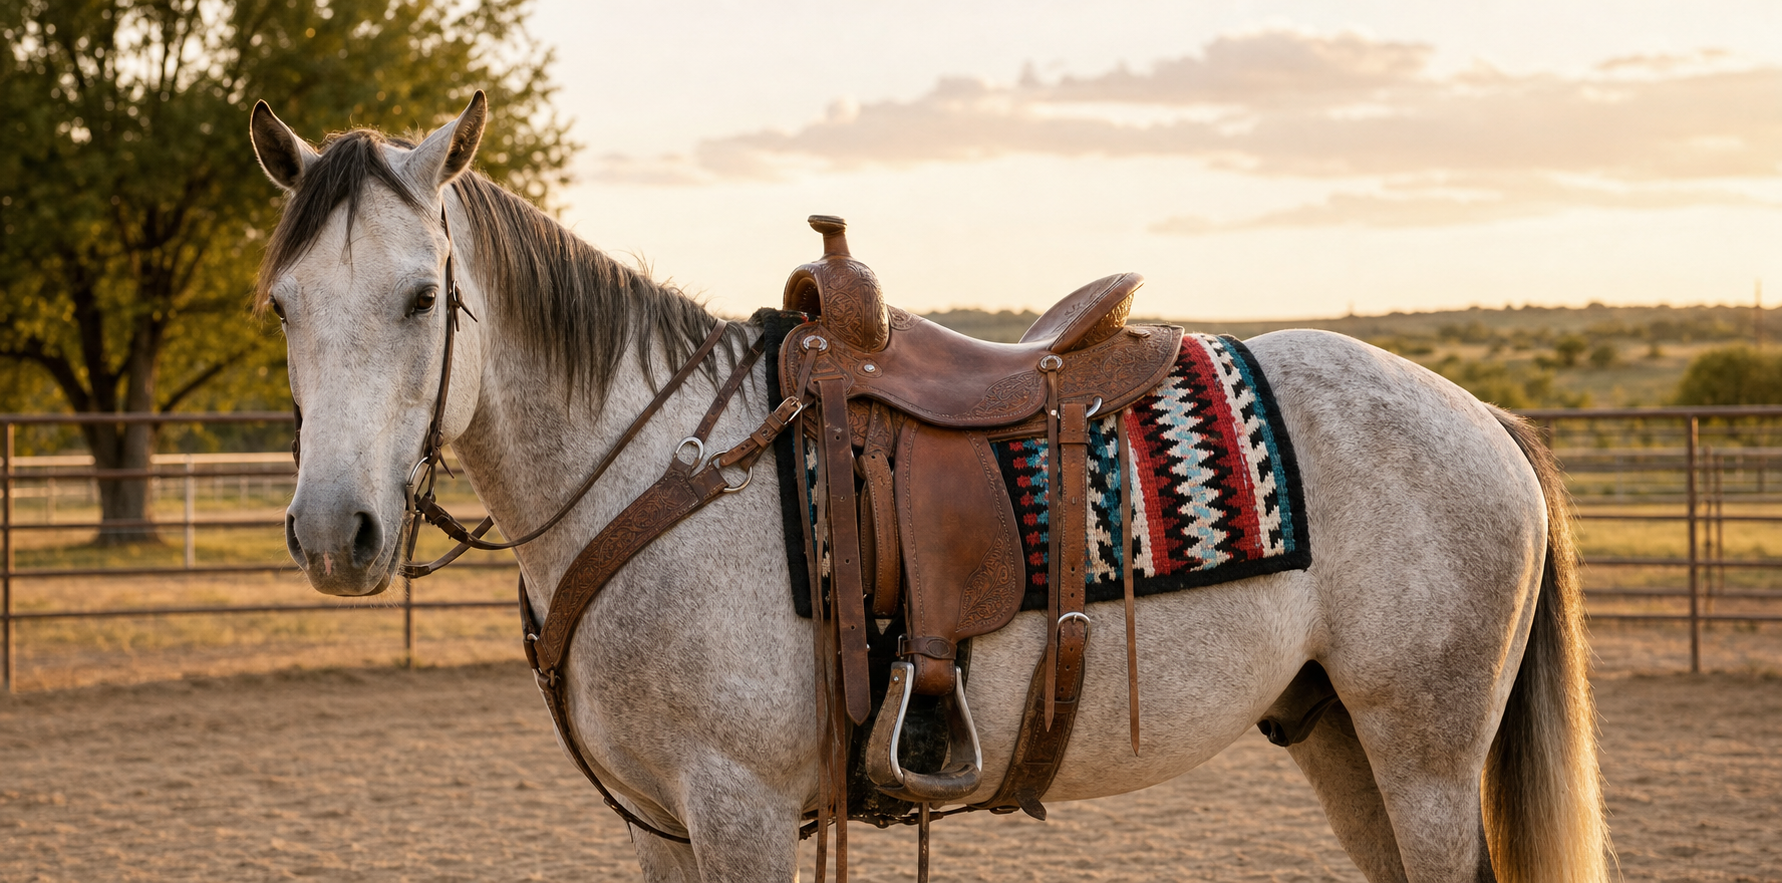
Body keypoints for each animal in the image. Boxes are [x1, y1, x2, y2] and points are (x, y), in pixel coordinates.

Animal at [247, 93, 1609, 882]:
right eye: (281, 303)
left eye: (423, 295)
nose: (334, 532)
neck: (661, 474)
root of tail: (1485, 417)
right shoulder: (658, 824)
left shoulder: (739, 810)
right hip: (1341, 734)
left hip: (1424, 748)